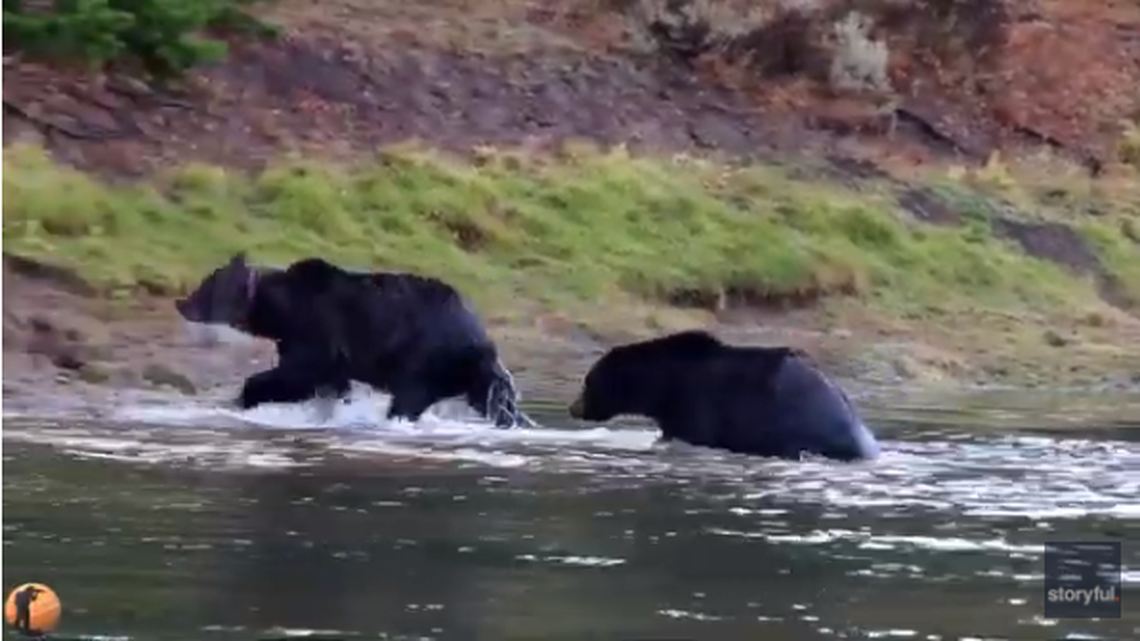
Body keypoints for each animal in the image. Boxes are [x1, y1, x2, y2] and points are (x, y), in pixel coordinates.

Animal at [175, 253, 535, 429]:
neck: (281, 308)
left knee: (408, 398)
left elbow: (298, 373)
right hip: (466, 372)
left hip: (425, 357)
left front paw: (244, 398)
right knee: (493, 400)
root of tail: (482, 339)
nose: (180, 302)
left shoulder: (318, 328)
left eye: (206, 284)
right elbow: (327, 383)